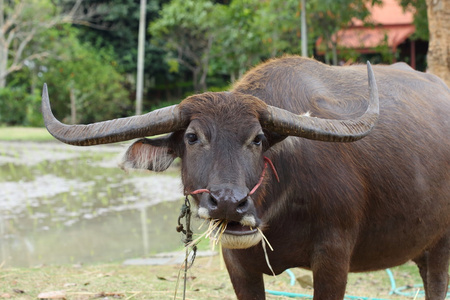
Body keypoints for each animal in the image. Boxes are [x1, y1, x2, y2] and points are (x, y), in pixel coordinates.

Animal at [40, 55, 448, 298]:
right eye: (192, 137)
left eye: (258, 139)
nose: (228, 203)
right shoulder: (237, 264)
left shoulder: (333, 257)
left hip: (441, 242)